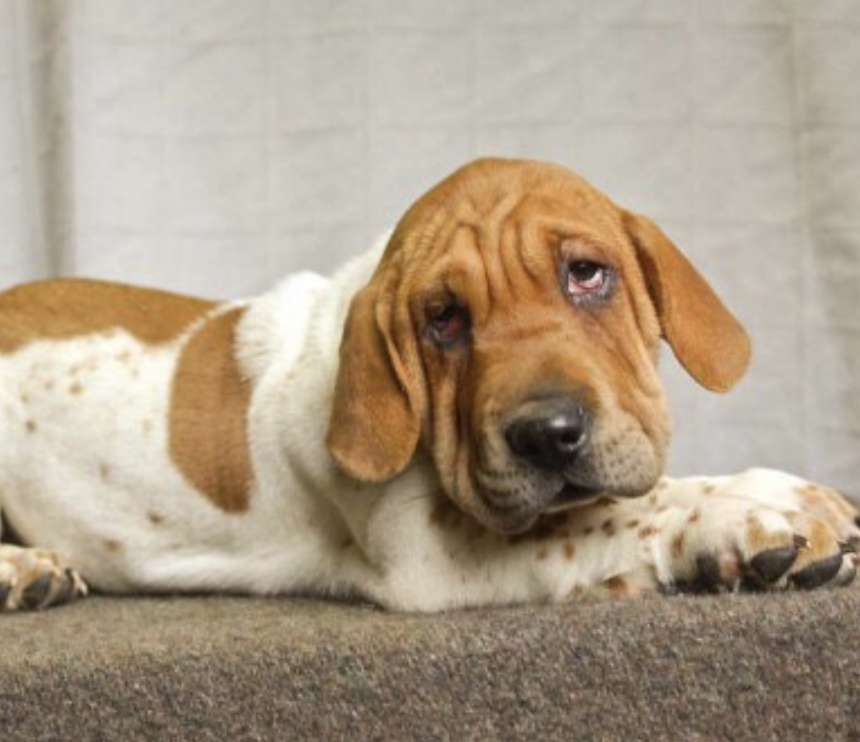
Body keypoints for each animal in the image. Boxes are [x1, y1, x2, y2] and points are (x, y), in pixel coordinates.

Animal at [0, 157, 856, 612]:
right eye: (442, 319)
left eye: (587, 274)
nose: (548, 435)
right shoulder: (426, 554)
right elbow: (603, 517)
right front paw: (741, 517)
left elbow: (626, 496)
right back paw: (24, 572)